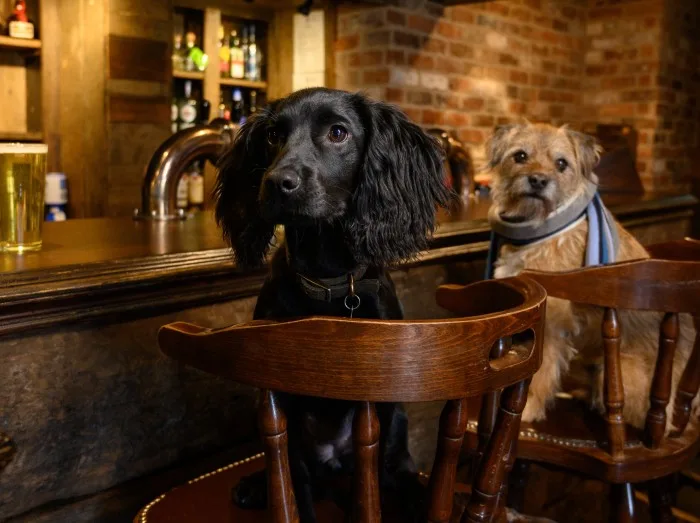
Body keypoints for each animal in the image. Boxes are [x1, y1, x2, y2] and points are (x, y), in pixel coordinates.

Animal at [484, 124, 696, 430]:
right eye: (520, 156)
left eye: (562, 163)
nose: (538, 180)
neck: (541, 228)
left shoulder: (551, 323)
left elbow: (541, 372)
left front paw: (527, 410)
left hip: (621, 372)